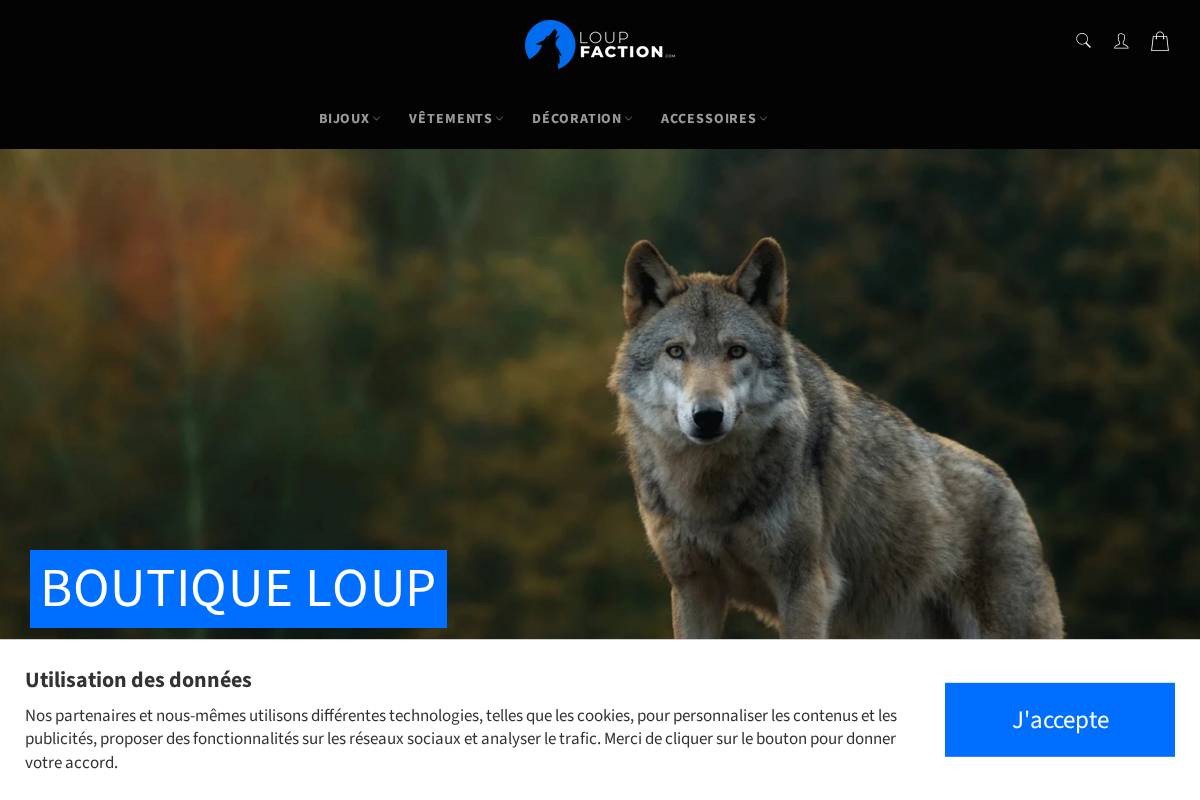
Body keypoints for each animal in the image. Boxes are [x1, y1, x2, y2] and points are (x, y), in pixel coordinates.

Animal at [608, 238, 1064, 638]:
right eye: (676, 351)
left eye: (736, 351)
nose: (707, 416)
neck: (710, 493)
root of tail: (1007, 483)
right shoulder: (693, 588)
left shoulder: (805, 588)